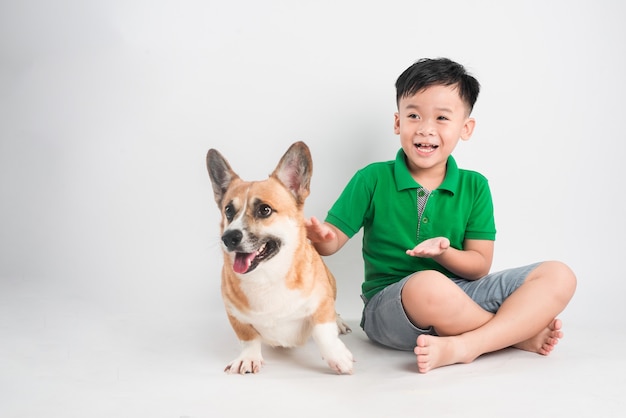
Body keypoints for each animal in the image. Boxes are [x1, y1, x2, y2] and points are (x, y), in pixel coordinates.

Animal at [207, 142, 354, 374]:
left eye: (264, 210)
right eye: (228, 211)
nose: (228, 237)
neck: (266, 277)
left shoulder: (321, 303)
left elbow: (323, 330)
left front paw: (337, 356)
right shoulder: (235, 315)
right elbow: (248, 338)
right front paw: (248, 358)